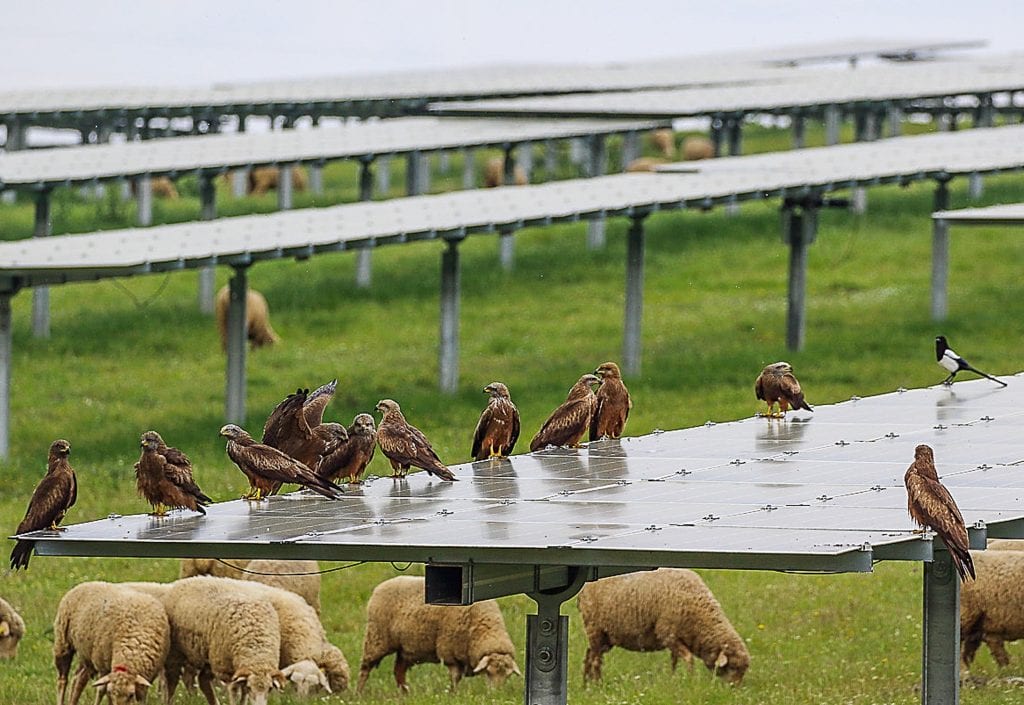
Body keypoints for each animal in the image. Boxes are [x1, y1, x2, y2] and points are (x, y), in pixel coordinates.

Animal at [160, 576, 283, 705]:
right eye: (250, 687)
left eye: (270, 688)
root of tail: (182, 582)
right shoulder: (227, 669)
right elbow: (235, 691)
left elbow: (243, 694)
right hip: (176, 652)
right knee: (172, 681)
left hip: (207, 655)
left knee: (202, 680)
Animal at [357, 575, 521, 693]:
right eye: (489, 672)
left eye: (507, 676)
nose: (496, 695)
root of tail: (380, 587)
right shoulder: (449, 653)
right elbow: (455, 678)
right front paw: (453, 695)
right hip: (376, 639)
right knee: (365, 668)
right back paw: (359, 693)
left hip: (405, 648)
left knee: (399, 671)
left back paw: (405, 694)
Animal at [577, 568, 749, 684]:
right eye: (732, 667)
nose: (734, 690)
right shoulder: (668, 634)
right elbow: (688, 659)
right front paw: (690, 681)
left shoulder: (674, 638)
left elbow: (674, 661)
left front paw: (672, 679)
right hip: (595, 628)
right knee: (596, 660)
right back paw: (598, 684)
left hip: (606, 637)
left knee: (589, 655)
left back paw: (586, 686)